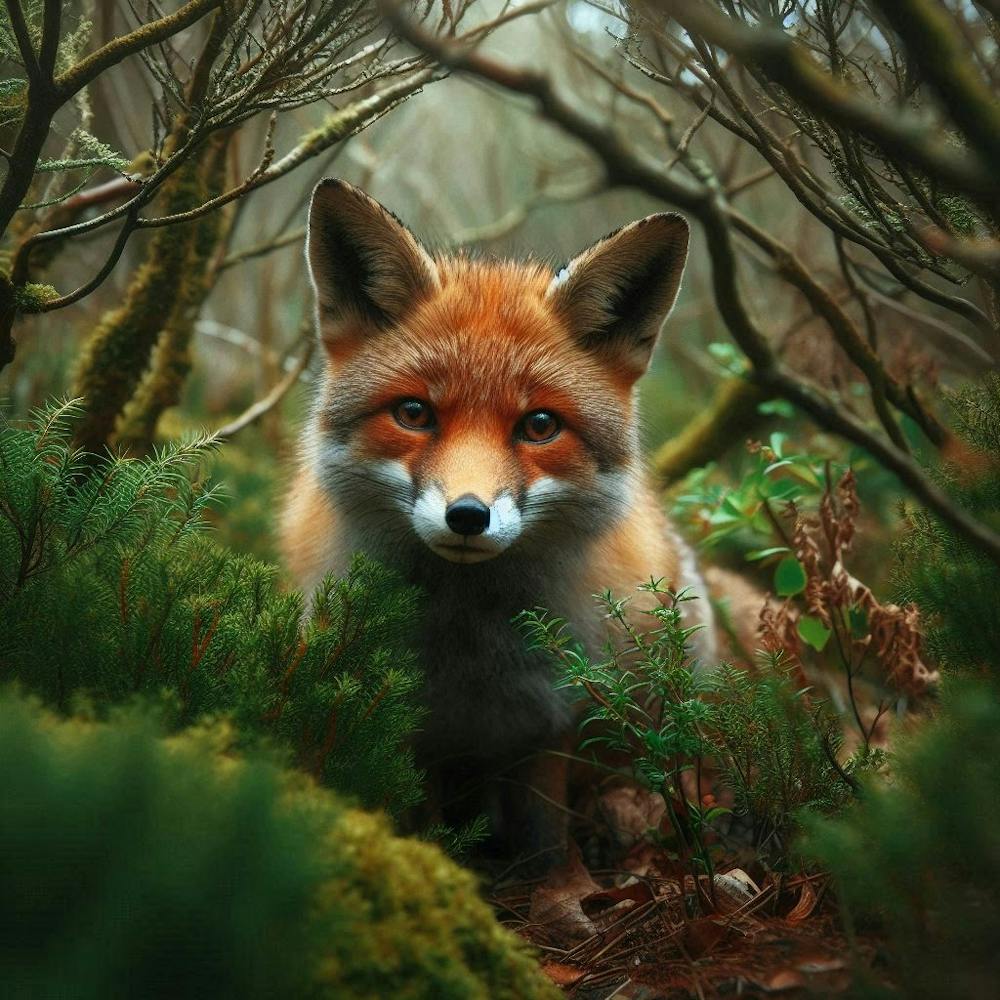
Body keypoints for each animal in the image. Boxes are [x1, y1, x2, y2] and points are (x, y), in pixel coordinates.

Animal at [281, 178, 720, 865]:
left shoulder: (550, 719)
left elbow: (546, 843)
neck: (468, 653)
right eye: (414, 413)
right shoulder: (406, 726)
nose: (467, 515)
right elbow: (418, 822)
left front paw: (553, 884)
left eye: (539, 425)